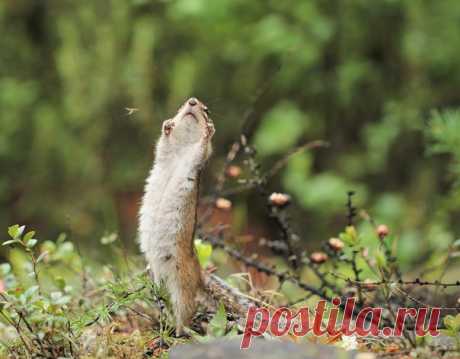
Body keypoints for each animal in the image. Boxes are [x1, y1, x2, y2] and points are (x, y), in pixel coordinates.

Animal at [137, 97, 215, 334]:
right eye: (182, 105)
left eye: (207, 110)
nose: (192, 101)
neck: (182, 148)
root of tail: (200, 275)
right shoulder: (165, 152)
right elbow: (161, 144)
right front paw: (168, 125)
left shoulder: (197, 159)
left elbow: (202, 149)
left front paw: (208, 131)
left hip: (181, 283)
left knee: (185, 312)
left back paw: (179, 333)